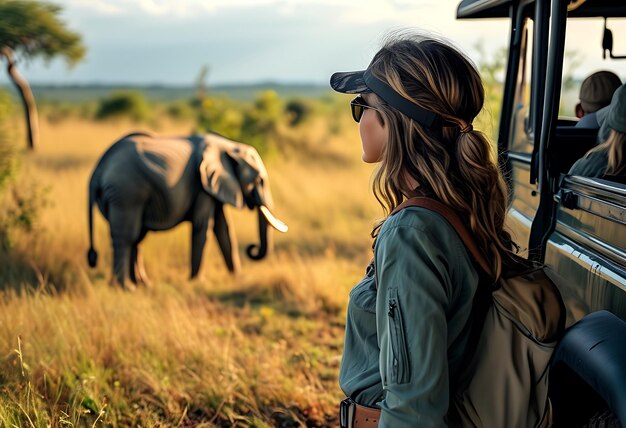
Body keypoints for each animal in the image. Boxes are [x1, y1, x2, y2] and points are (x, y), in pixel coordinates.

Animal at [86, 132, 286, 290]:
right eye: (259, 181)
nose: (252, 248)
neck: (228, 146)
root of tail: (97, 170)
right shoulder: (203, 186)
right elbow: (204, 225)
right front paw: (199, 282)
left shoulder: (213, 186)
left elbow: (223, 228)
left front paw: (237, 277)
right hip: (126, 193)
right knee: (127, 237)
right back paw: (126, 287)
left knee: (136, 238)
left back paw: (142, 284)